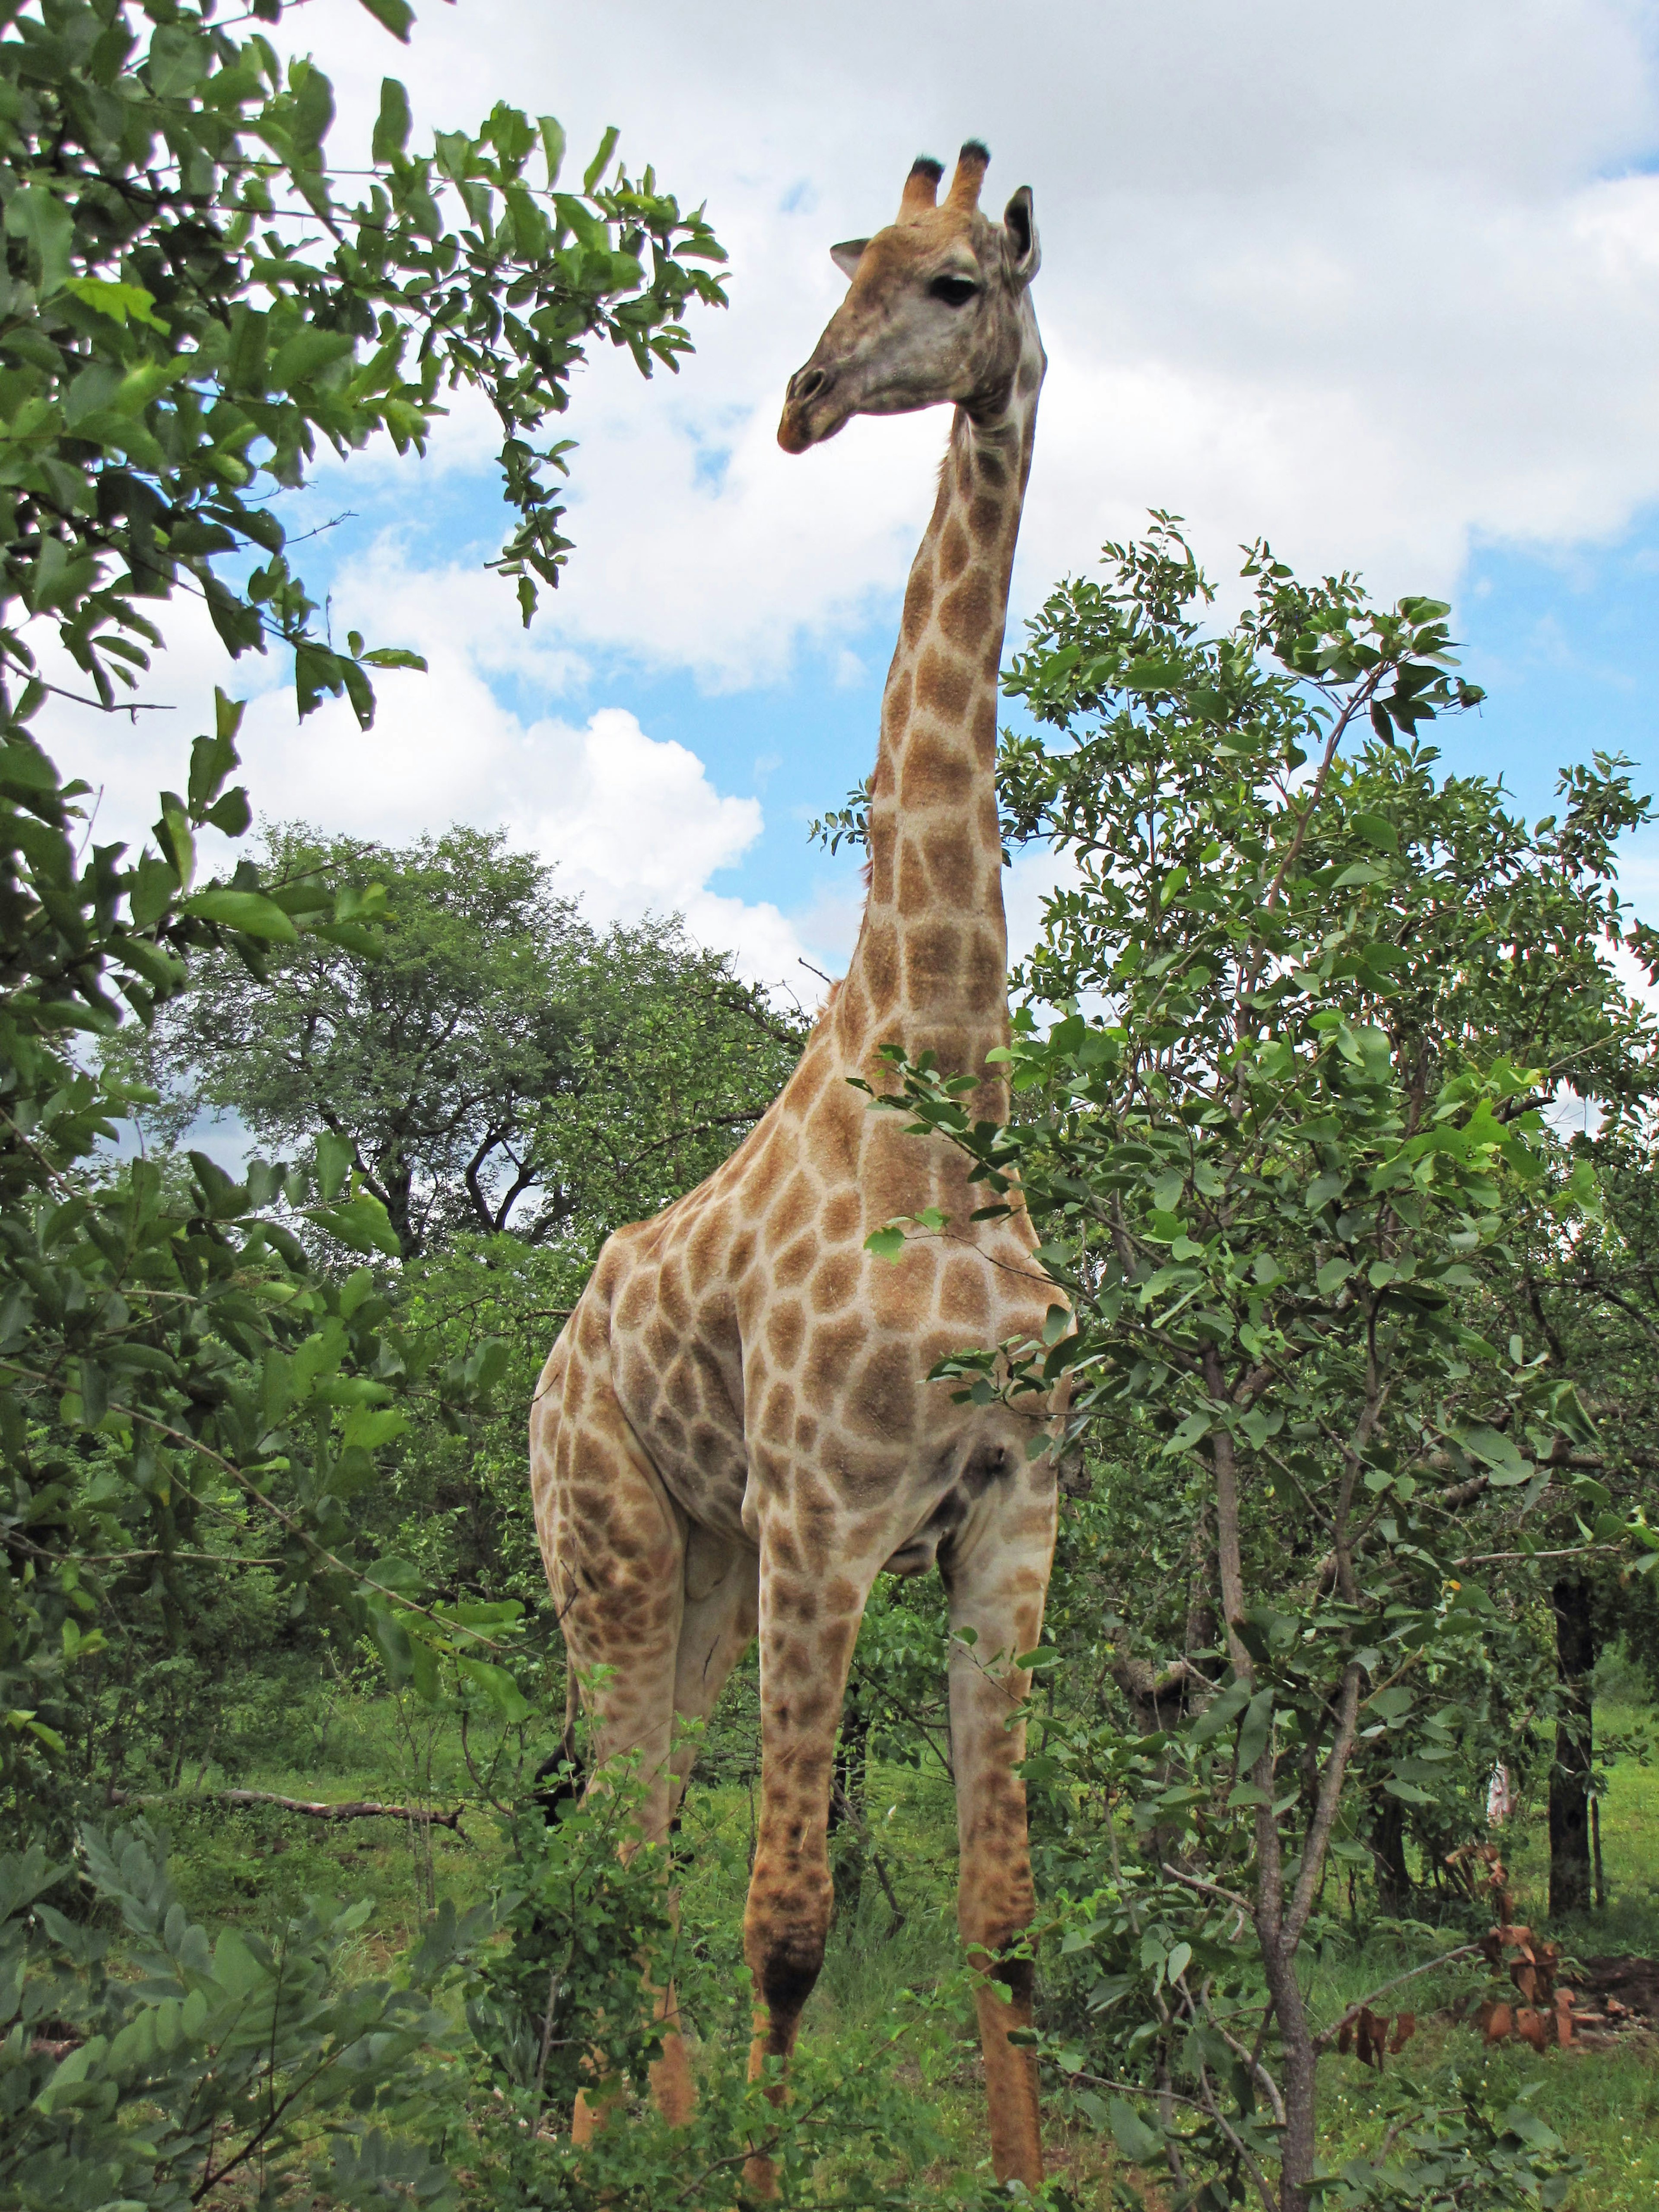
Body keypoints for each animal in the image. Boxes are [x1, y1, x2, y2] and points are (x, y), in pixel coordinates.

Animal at [533, 143, 1066, 2194]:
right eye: (850, 274)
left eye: (950, 284)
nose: (799, 401)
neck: (945, 1086)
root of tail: (550, 1355)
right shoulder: (831, 1514)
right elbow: (792, 1921)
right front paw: (757, 2168)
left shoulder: (1010, 1510)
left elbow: (1000, 1910)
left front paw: (1028, 2170)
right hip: (602, 1537)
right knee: (620, 1838)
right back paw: (609, 2133)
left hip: (693, 1563)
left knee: (637, 1829)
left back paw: (646, 2120)